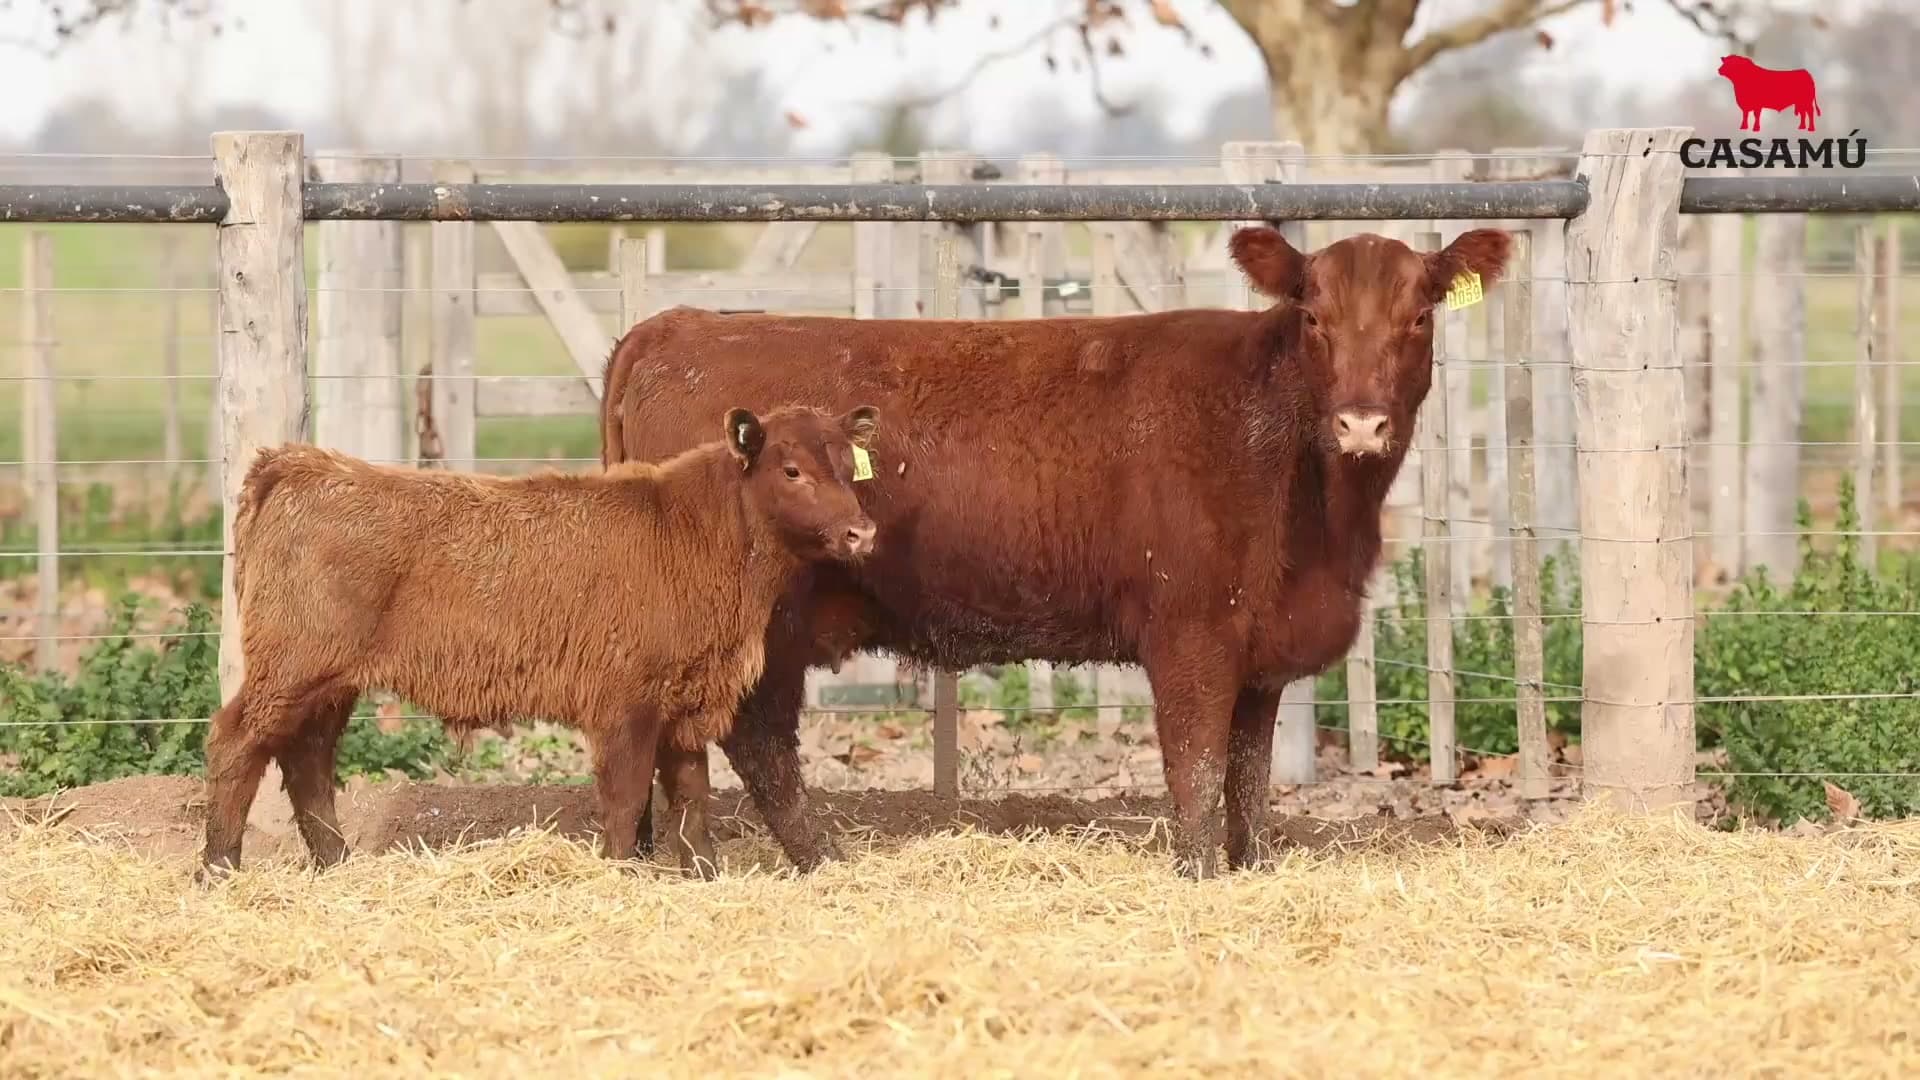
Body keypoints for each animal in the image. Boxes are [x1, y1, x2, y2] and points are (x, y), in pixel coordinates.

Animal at [197, 403, 881, 883]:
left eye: (850, 468)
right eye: (791, 470)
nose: (862, 532)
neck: (695, 532)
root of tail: (298, 464)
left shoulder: (687, 703)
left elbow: (691, 798)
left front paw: (704, 876)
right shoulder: (625, 705)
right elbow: (626, 799)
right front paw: (619, 876)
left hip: (329, 684)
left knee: (306, 761)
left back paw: (336, 864)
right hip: (291, 668)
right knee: (237, 743)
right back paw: (219, 868)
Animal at [602, 225, 1513, 879]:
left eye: (1420, 317)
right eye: (1315, 317)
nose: (1361, 422)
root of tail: (674, 327)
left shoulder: (1260, 650)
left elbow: (1249, 780)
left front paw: (1251, 869)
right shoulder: (1191, 635)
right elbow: (1196, 772)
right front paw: (1197, 877)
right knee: (754, 739)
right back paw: (818, 861)